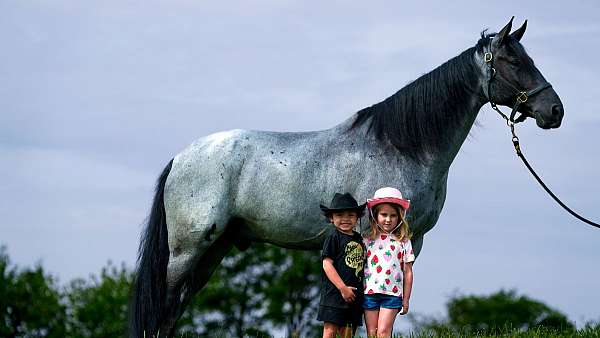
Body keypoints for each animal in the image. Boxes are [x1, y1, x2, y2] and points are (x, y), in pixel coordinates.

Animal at [127, 19, 564, 338]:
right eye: (513, 62)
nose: (554, 110)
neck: (402, 145)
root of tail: (181, 157)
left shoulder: (412, 241)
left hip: (213, 251)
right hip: (188, 250)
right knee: (162, 310)